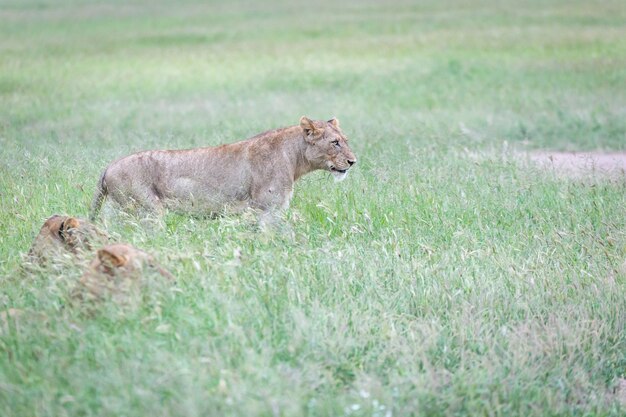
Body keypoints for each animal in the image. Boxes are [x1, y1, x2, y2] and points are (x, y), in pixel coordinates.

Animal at [90, 115, 358, 223]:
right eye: (335, 142)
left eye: (345, 139)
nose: (353, 161)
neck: (294, 159)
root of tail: (108, 166)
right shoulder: (266, 210)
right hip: (147, 210)